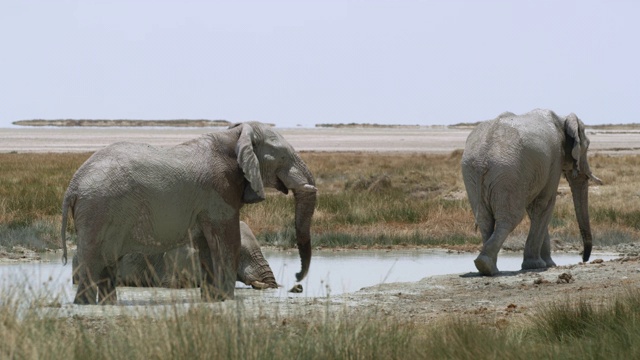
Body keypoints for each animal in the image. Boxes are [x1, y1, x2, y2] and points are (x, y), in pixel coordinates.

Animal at [460, 109, 600, 276]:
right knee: (510, 218)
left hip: (472, 173)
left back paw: (487, 268)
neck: (561, 119)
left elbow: (534, 210)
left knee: (484, 218)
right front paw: (537, 265)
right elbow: (544, 205)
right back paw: (486, 265)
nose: (584, 259)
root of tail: (483, 158)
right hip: (507, 173)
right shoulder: (554, 161)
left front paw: (547, 264)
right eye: (588, 145)